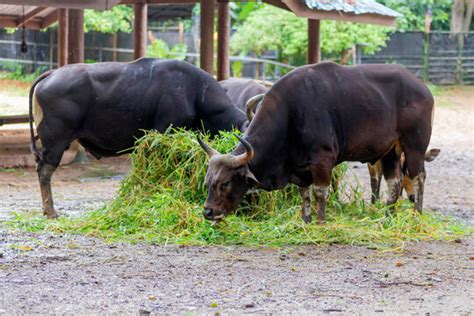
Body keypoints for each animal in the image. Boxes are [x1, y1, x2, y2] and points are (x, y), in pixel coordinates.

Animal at [29, 58, 248, 217]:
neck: (194, 92)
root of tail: (52, 73)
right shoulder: (165, 131)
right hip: (56, 142)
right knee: (44, 171)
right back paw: (50, 211)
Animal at [198, 63, 436, 223]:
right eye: (208, 181)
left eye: (225, 183)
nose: (208, 211)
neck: (291, 114)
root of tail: (424, 89)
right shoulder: (299, 169)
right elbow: (304, 194)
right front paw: (306, 220)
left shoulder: (323, 161)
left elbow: (320, 192)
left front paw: (321, 222)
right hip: (390, 151)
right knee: (394, 181)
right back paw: (387, 216)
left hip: (414, 146)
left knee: (418, 177)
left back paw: (416, 214)